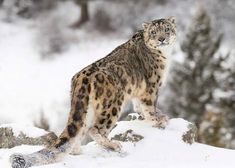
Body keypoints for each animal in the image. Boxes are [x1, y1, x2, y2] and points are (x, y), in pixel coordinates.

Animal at [10, 16, 176, 167]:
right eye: (154, 32)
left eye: (167, 29)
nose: (162, 39)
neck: (165, 55)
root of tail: (81, 78)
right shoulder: (152, 87)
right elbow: (149, 107)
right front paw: (158, 121)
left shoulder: (139, 91)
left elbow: (138, 106)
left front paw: (154, 116)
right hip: (112, 105)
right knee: (95, 130)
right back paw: (113, 145)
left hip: (86, 109)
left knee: (79, 131)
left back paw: (77, 151)